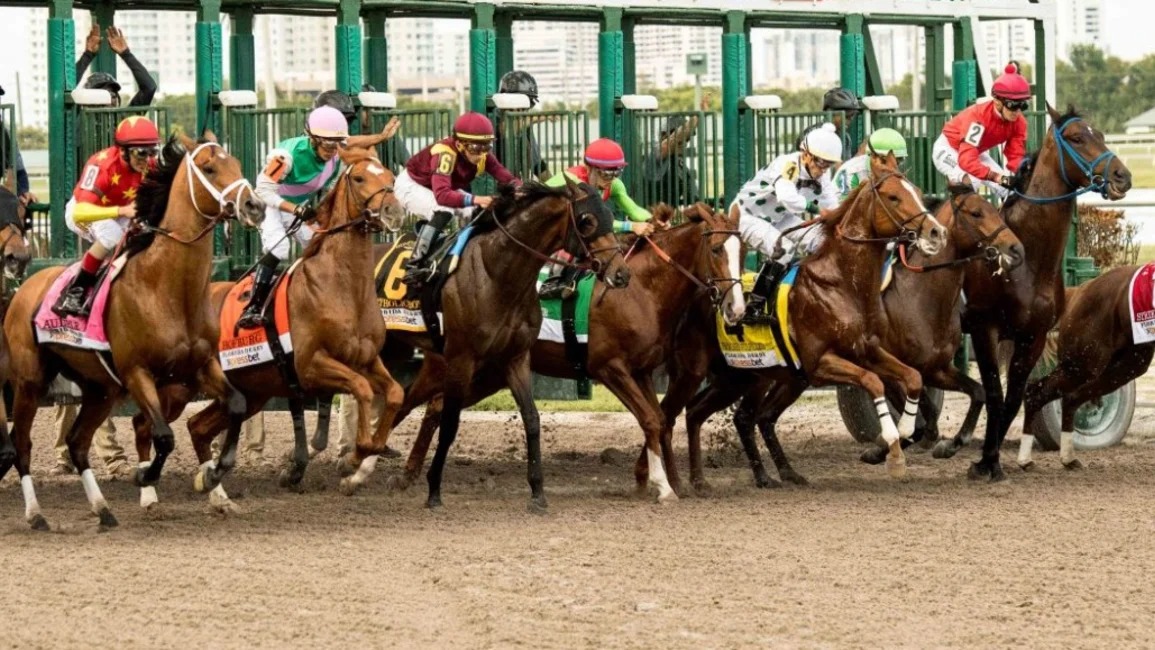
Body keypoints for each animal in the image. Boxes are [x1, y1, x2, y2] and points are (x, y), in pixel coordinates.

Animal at [1, 133, 263, 528]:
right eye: (208, 168)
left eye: (235, 163)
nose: (254, 205)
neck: (168, 288)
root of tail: (25, 287)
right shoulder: (137, 372)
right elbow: (163, 436)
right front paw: (146, 476)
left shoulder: (200, 367)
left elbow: (236, 403)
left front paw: (215, 473)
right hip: (30, 381)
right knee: (23, 444)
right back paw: (36, 514)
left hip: (100, 389)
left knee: (78, 442)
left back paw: (103, 509)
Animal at [385, 200, 748, 501]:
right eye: (717, 249)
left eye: (743, 250)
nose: (736, 308)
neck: (642, 290)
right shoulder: (609, 367)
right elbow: (649, 418)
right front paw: (662, 485)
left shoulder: (642, 370)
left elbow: (658, 419)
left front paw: (664, 480)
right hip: (448, 363)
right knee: (409, 402)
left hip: (490, 373)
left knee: (435, 407)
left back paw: (407, 474)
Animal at [660, 153, 947, 489]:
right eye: (893, 196)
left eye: (917, 190)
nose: (937, 233)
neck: (842, 283)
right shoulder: (820, 363)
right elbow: (873, 381)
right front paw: (891, 441)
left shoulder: (867, 350)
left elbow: (912, 377)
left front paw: (904, 433)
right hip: (699, 371)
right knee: (688, 413)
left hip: (748, 376)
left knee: (721, 414)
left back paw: (755, 475)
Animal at [928, 102, 1127, 477]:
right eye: (1076, 138)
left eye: (1100, 134)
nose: (1123, 176)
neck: (1030, 258)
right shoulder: (984, 328)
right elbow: (993, 393)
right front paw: (983, 461)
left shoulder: (1032, 335)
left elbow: (1013, 398)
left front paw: (990, 458)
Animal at [1025, 266, 1150, 471]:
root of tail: (1079, 290)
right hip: (1082, 364)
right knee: (1037, 393)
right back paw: (1025, 460)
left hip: (1125, 365)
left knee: (1070, 398)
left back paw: (1068, 458)